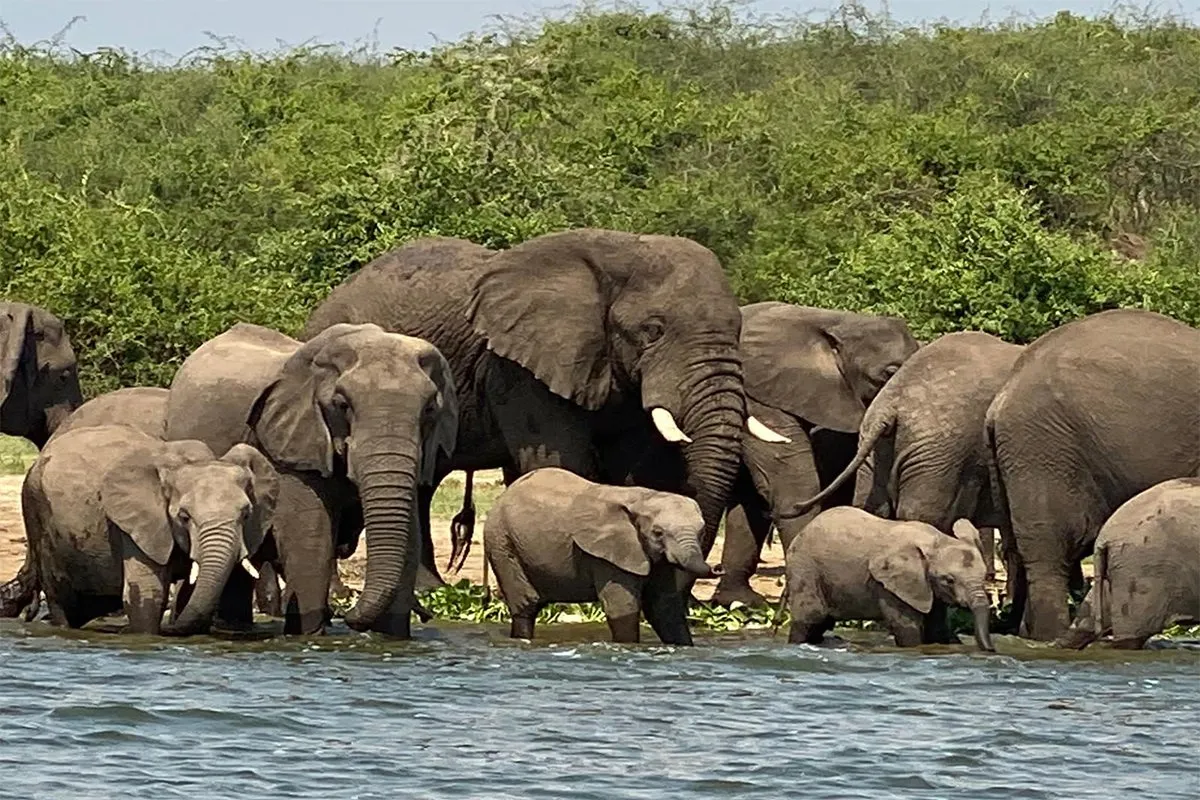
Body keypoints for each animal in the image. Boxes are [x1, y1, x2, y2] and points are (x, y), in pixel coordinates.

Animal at [12, 424, 277, 634]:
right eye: (184, 517)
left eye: (246, 514)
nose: (171, 630)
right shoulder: (134, 524)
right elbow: (149, 593)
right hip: (36, 509)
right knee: (61, 598)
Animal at [165, 322, 458, 637]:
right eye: (342, 404)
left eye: (430, 409)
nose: (348, 616)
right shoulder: (294, 442)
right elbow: (310, 534)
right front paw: (309, 636)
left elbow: (409, 536)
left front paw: (390, 639)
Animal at [302, 230, 787, 601]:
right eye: (653, 331)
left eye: (739, 332)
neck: (620, 250)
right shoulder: (519, 369)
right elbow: (561, 463)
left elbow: (630, 471)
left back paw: (429, 590)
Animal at [483, 467, 722, 644]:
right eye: (658, 533)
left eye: (701, 532)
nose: (718, 567)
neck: (642, 497)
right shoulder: (609, 555)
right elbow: (622, 609)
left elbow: (663, 608)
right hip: (501, 541)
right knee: (526, 605)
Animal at [782, 507, 995, 651]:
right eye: (949, 580)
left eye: (984, 576)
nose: (991, 650)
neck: (938, 540)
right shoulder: (892, 584)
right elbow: (907, 627)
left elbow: (937, 628)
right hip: (804, 567)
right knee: (810, 619)